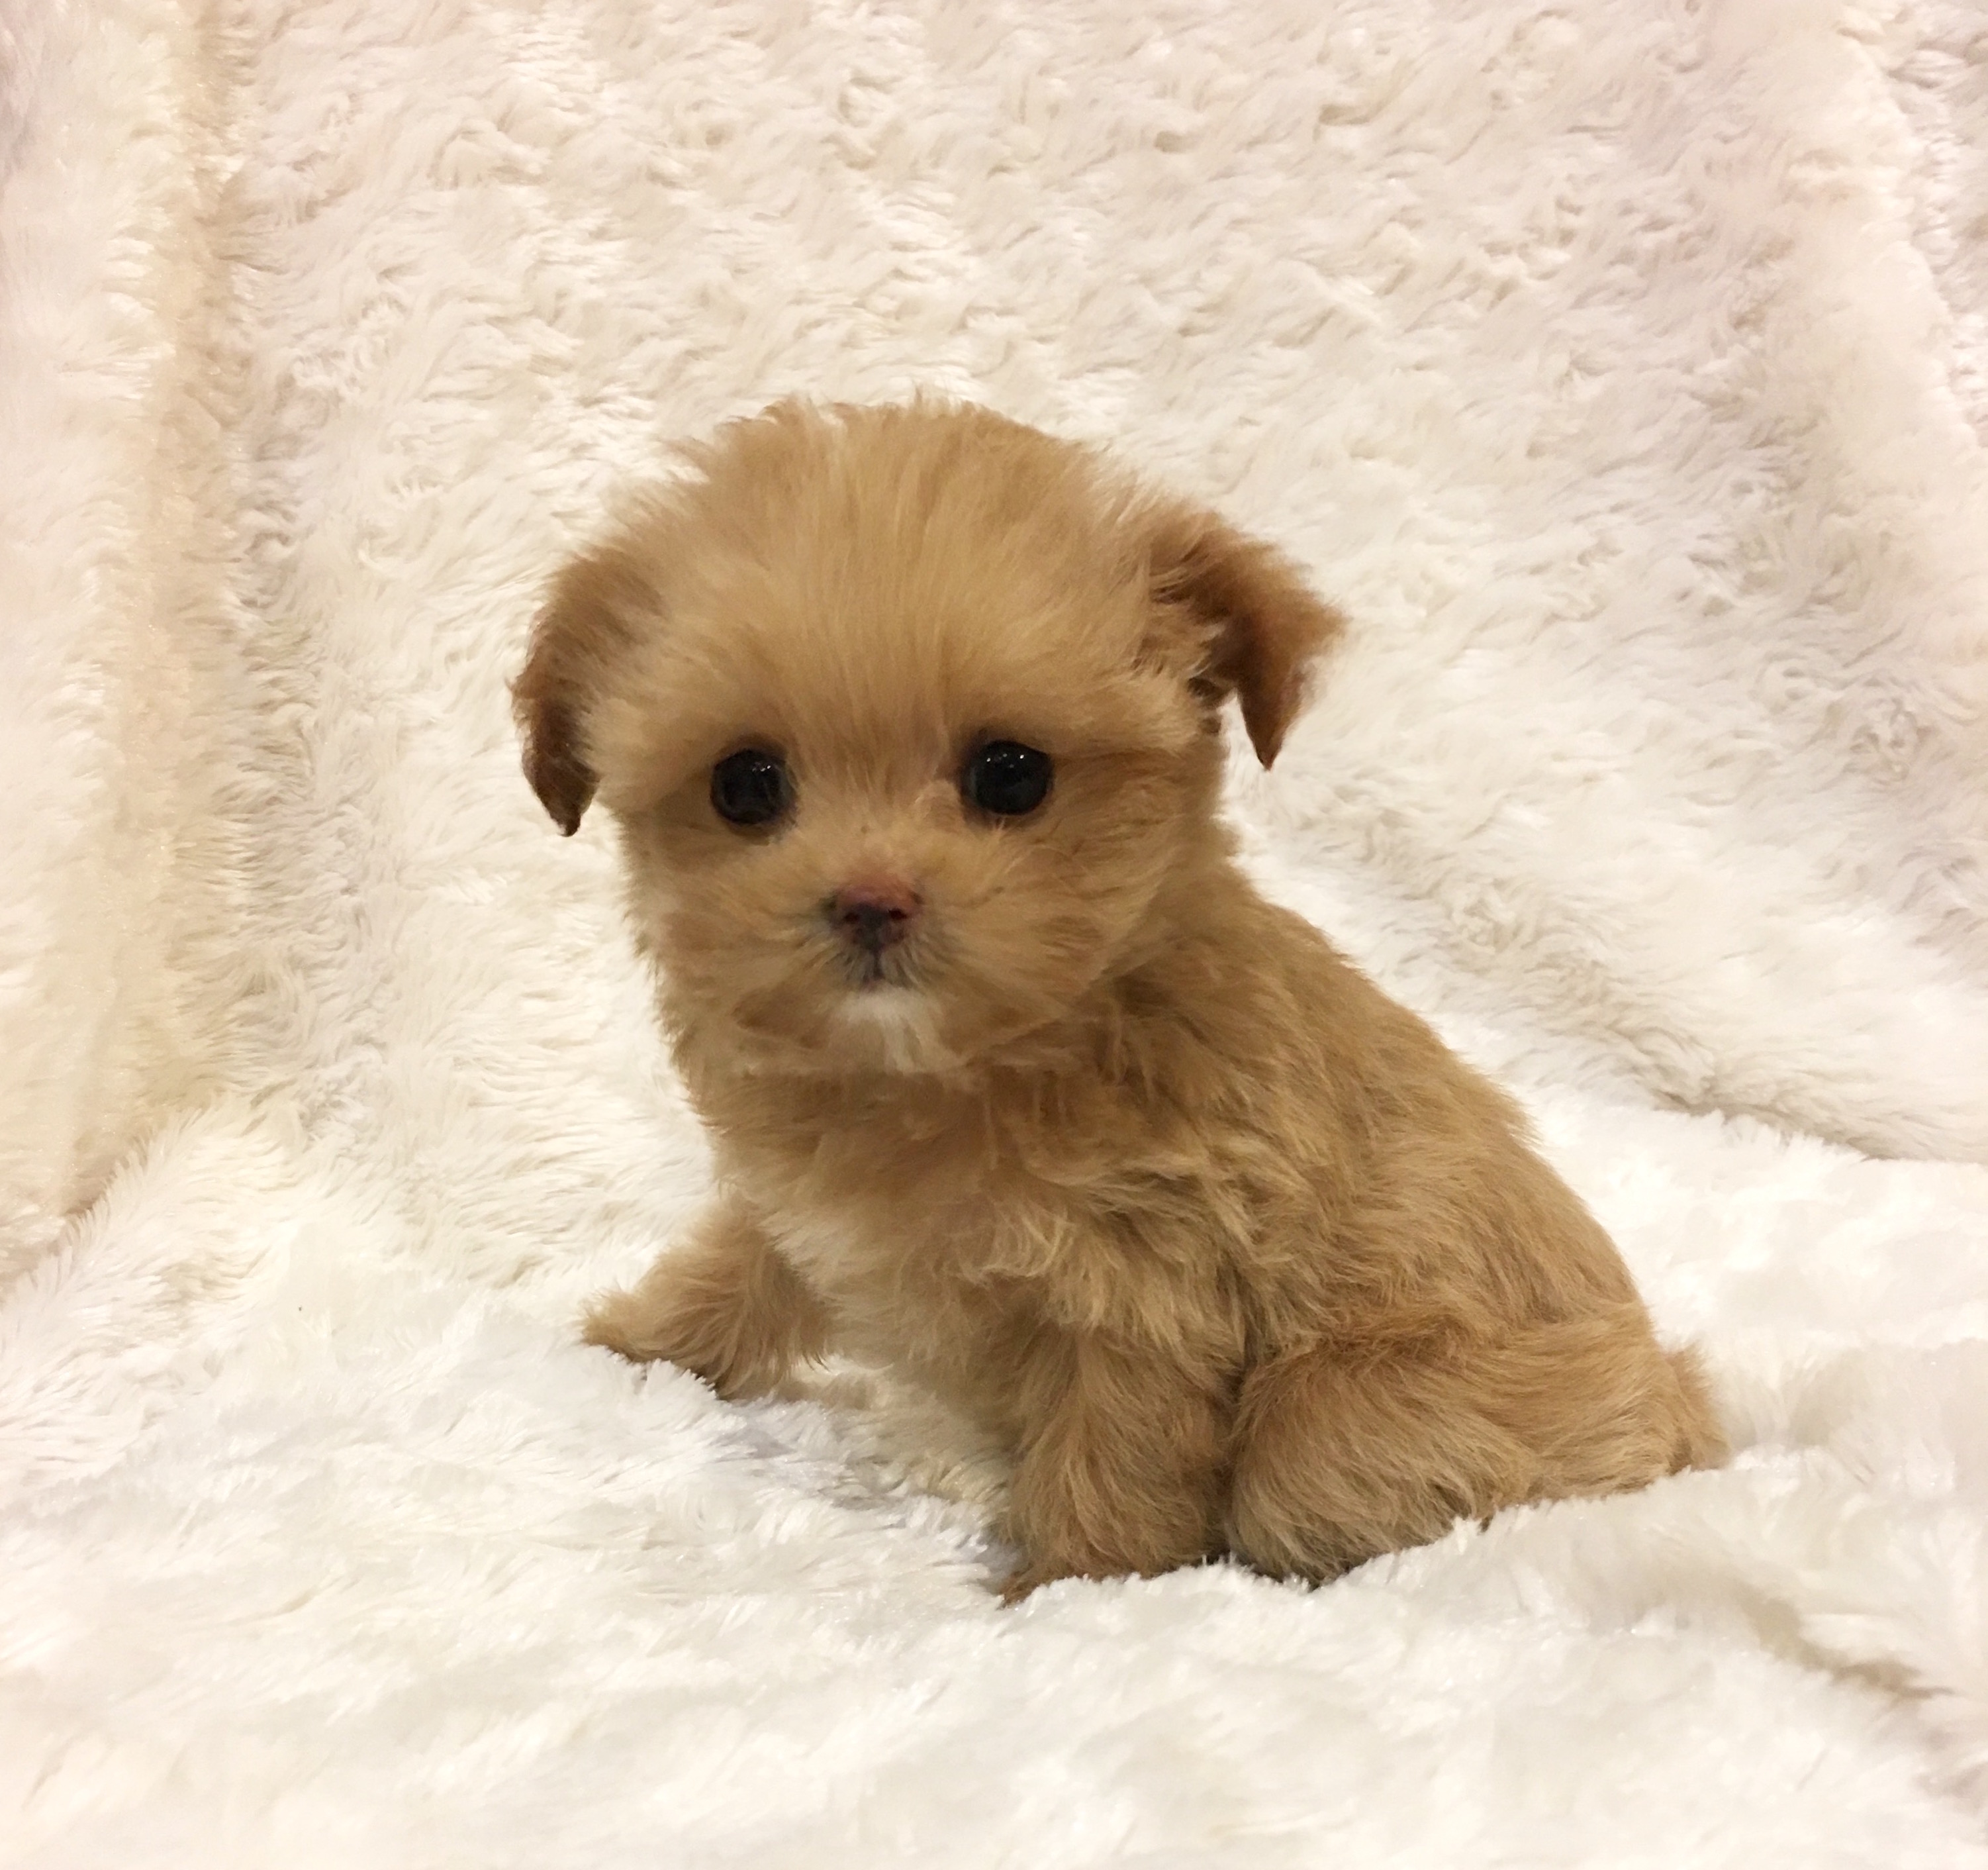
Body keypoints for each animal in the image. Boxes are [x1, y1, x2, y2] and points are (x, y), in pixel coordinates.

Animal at [516, 393, 1725, 1591]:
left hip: (1337, 1416)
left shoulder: (1148, 1290)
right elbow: (733, 1271)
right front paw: (628, 1346)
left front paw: (1065, 1584)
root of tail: (1677, 1405)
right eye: (745, 785)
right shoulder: (802, 1208)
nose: (869, 901)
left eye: (1011, 774)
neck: (950, 1068)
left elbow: (1114, 1449)